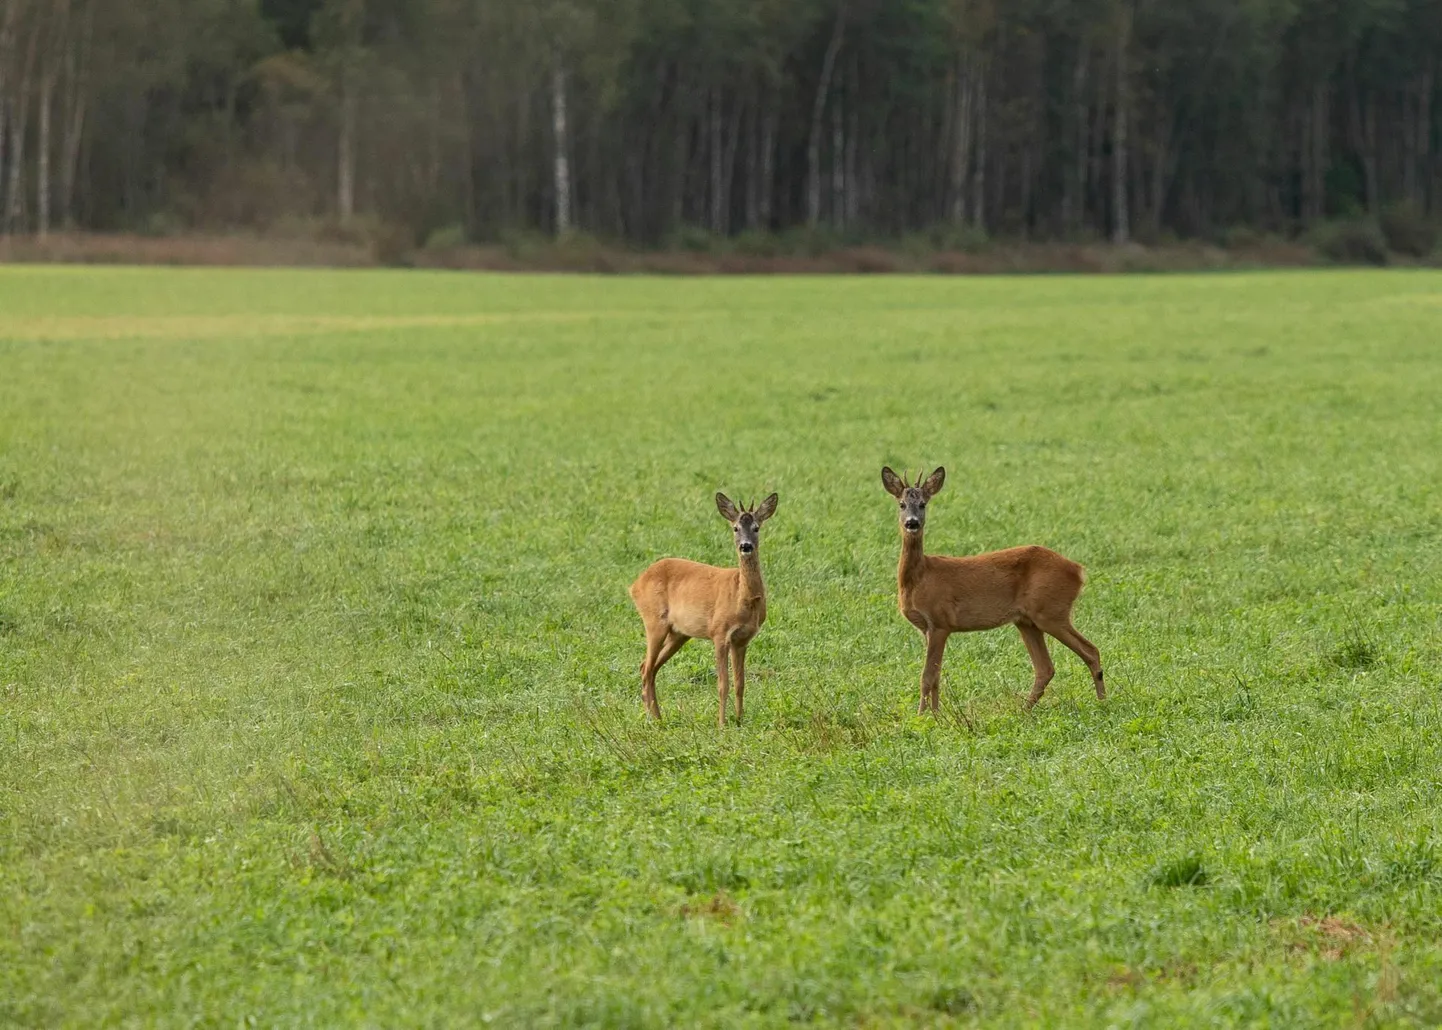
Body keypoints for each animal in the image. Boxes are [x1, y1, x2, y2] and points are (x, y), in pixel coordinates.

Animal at [628, 490, 778, 727]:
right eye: (735, 527)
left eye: (757, 527)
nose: (746, 546)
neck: (742, 596)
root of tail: (635, 584)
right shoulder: (719, 632)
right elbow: (723, 684)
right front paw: (722, 724)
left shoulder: (742, 640)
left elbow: (740, 683)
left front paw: (739, 720)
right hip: (654, 621)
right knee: (647, 667)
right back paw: (653, 720)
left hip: (679, 634)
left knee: (649, 667)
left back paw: (659, 718)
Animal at [876, 467, 1101, 715]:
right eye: (902, 504)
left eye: (923, 504)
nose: (912, 523)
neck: (920, 577)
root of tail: (1078, 571)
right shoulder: (926, 628)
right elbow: (936, 676)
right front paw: (936, 715)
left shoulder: (940, 622)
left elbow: (927, 676)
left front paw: (924, 717)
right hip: (1027, 621)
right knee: (1045, 668)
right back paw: (1023, 711)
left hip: (1051, 611)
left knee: (1091, 650)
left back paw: (1102, 702)